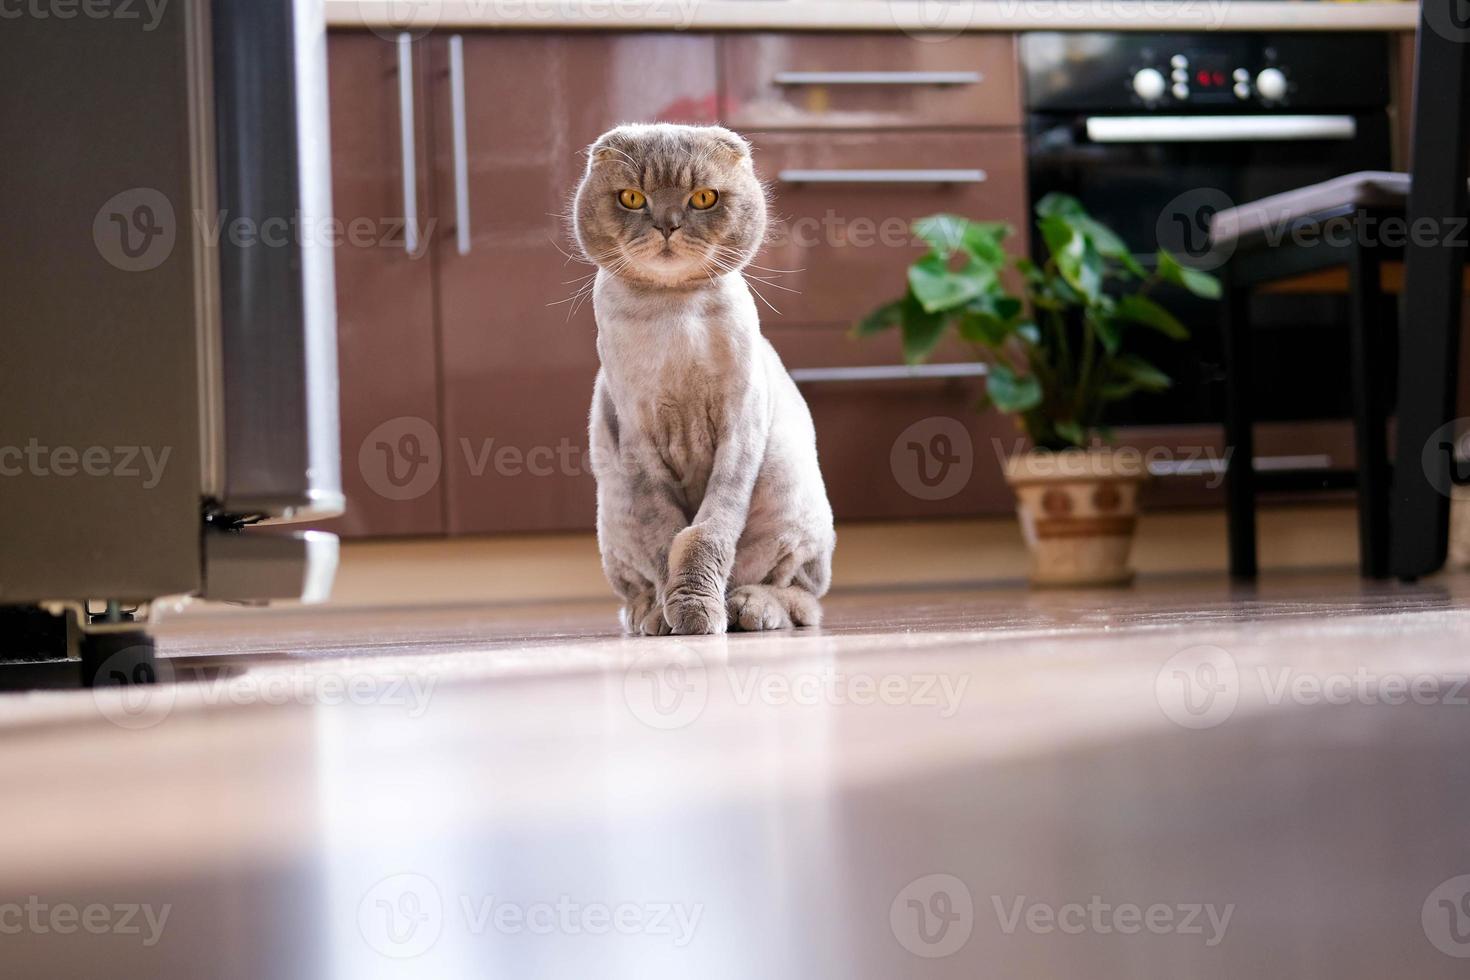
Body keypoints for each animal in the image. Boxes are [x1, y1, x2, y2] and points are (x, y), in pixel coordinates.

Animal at [570, 124, 834, 637]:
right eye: (632, 198)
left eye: (703, 198)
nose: (667, 224)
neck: (674, 315)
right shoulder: (637, 442)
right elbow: (666, 539)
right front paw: (676, 613)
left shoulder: (739, 430)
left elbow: (704, 536)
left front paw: (697, 614)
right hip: (614, 517)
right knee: (634, 590)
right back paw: (650, 614)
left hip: (789, 498)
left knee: (801, 597)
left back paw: (748, 607)